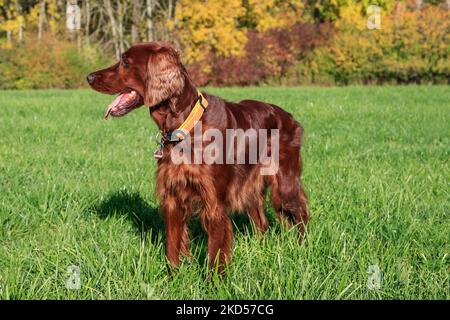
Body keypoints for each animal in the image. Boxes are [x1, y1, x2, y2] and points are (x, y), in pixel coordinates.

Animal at [87, 42, 310, 272]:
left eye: (126, 62)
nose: (89, 77)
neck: (185, 126)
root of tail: (291, 117)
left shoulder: (213, 202)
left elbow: (215, 253)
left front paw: (214, 279)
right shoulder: (173, 197)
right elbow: (172, 247)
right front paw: (174, 275)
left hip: (284, 184)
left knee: (301, 215)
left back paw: (302, 250)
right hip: (250, 188)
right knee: (262, 223)